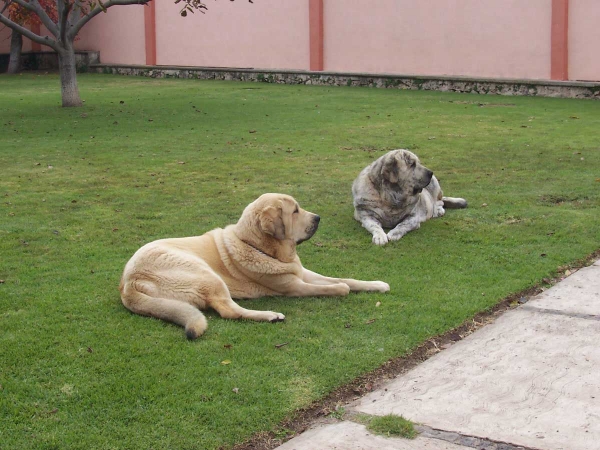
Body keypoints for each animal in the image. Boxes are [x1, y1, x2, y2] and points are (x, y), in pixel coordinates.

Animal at [120, 192, 392, 338]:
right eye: (295, 211)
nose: (318, 218)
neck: (257, 246)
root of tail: (127, 284)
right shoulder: (293, 286)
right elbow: (337, 287)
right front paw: (340, 290)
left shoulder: (302, 272)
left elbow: (346, 279)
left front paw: (377, 284)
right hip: (204, 273)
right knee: (228, 310)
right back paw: (271, 315)